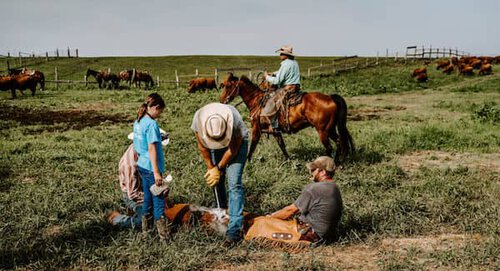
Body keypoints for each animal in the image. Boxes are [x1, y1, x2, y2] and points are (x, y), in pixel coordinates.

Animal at [220, 72, 356, 165]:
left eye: (228, 86)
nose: (221, 101)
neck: (257, 101)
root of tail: (331, 97)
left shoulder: (256, 128)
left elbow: (253, 144)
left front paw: (248, 161)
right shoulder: (275, 131)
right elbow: (282, 145)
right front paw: (288, 160)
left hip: (322, 131)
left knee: (329, 147)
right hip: (330, 129)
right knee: (339, 142)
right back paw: (337, 162)